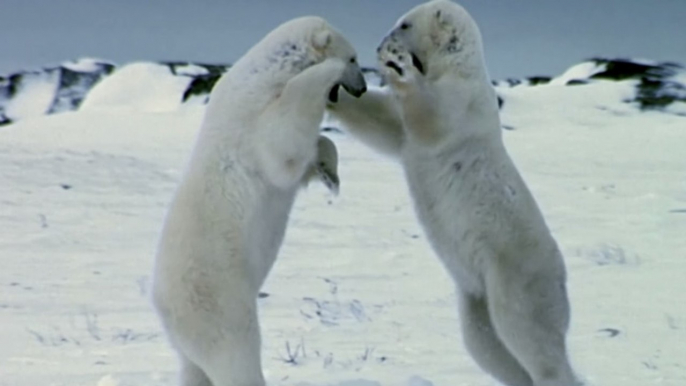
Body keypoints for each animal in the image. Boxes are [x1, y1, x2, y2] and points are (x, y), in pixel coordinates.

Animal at [150, 15, 366, 386]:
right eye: (353, 59)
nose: (363, 87)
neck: (264, 75)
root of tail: (163, 309)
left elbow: (306, 156)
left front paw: (330, 177)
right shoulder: (252, 122)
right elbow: (283, 145)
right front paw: (325, 71)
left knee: (194, 369)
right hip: (221, 302)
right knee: (236, 357)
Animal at [330, 0, 584, 386]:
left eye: (404, 24)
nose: (379, 45)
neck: (456, 66)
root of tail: (561, 276)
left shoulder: (465, 99)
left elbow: (432, 117)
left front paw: (400, 66)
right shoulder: (410, 127)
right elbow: (384, 123)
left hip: (518, 276)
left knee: (530, 336)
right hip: (476, 295)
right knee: (487, 345)